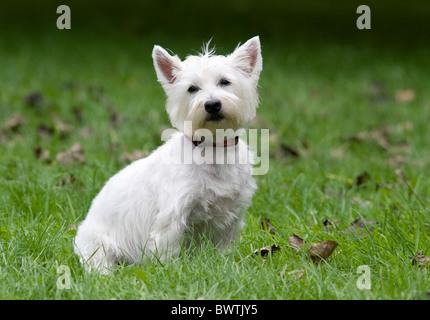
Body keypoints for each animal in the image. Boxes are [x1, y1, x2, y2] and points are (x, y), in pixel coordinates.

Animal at [73, 37, 262, 272]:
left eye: (225, 82)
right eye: (192, 88)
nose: (212, 104)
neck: (213, 148)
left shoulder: (231, 217)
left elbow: (223, 249)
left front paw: (223, 267)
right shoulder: (173, 216)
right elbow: (168, 249)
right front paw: (170, 272)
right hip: (97, 245)